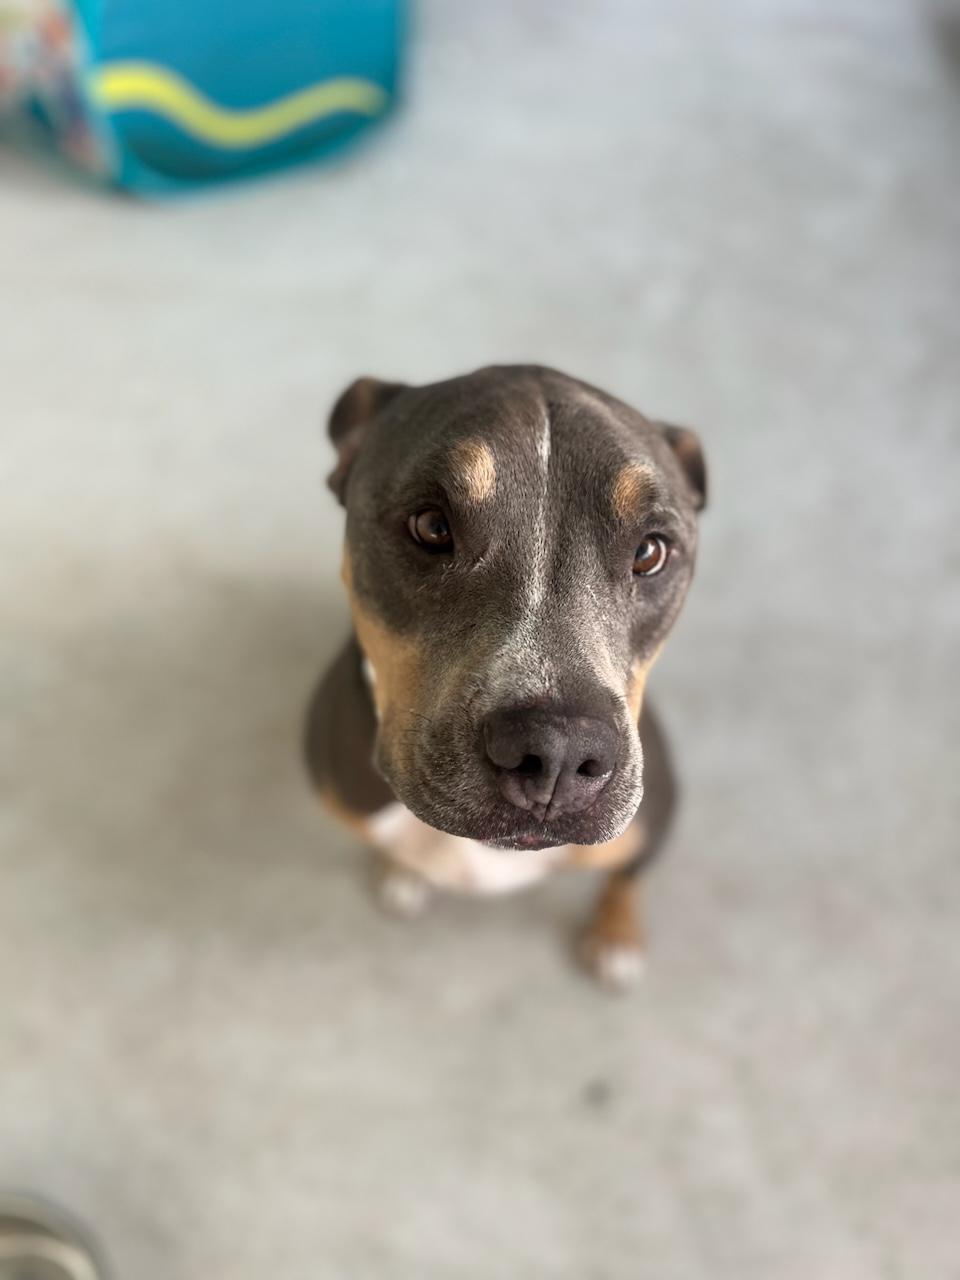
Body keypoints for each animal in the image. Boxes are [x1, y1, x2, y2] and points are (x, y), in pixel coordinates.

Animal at [308, 368, 706, 988]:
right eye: (431, 526)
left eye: (650, 552)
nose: (559, 752)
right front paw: (405, 870)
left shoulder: (654, 821)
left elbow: (626, 878)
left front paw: (616, 934)